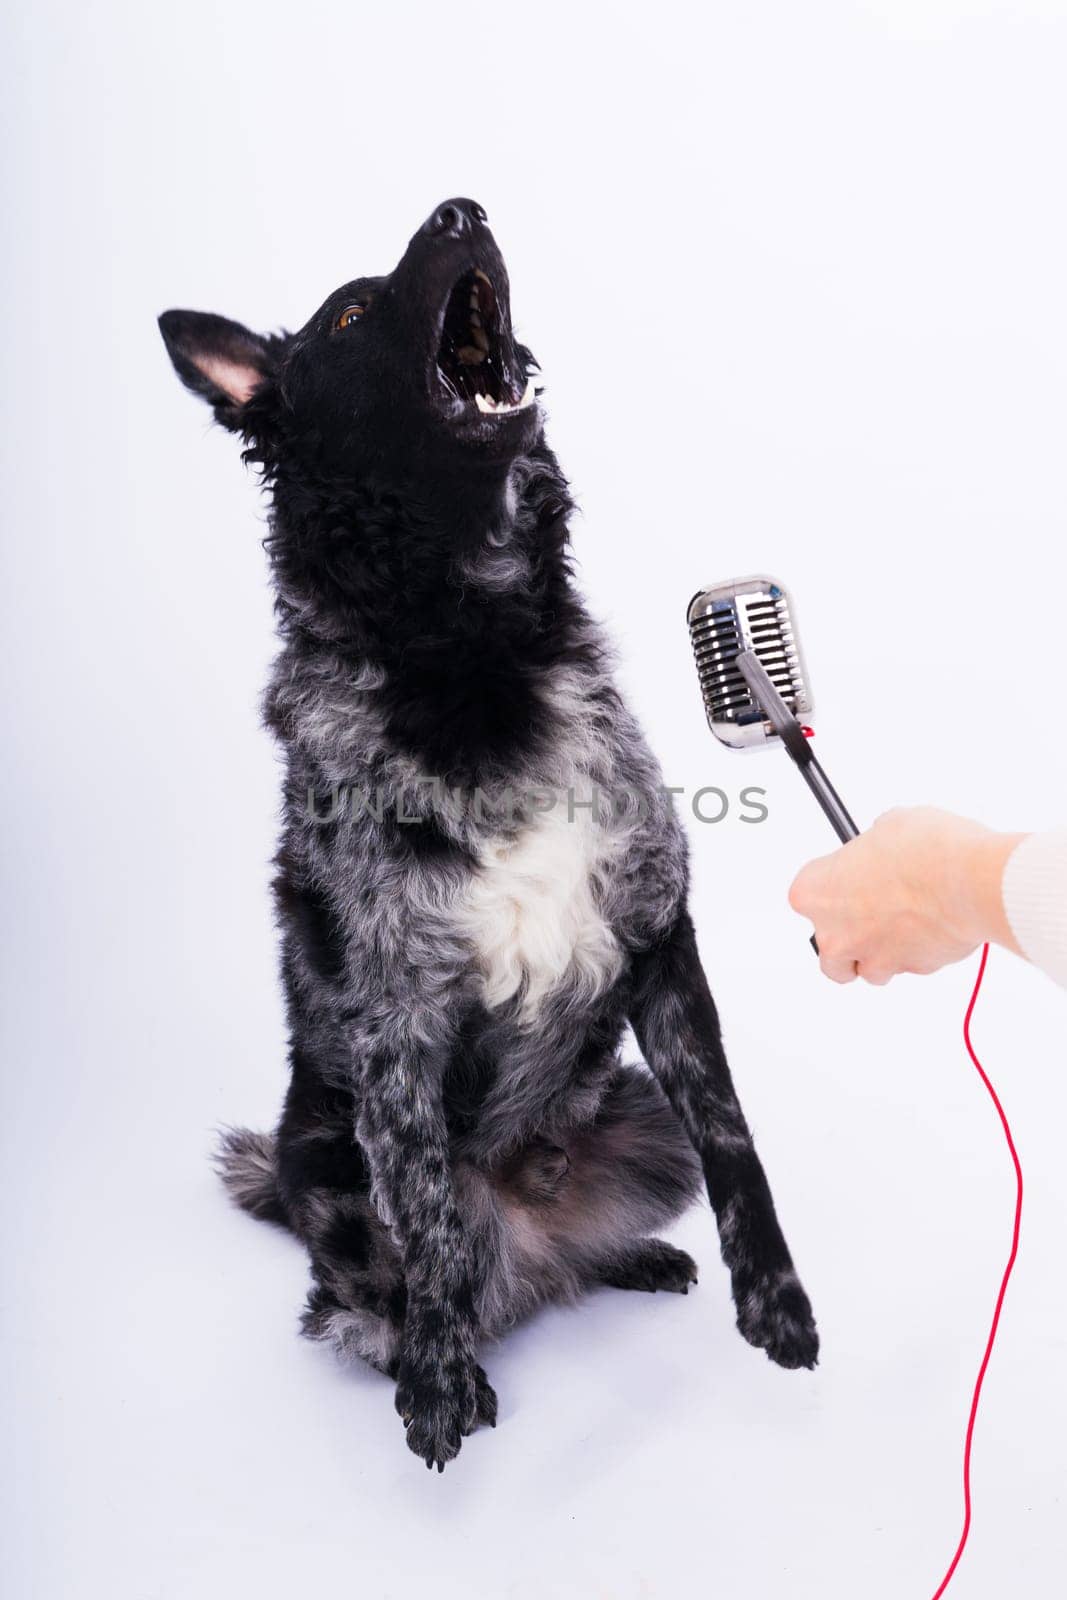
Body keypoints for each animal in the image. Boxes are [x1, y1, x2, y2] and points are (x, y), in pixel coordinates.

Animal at [158, 193, 819, 1465]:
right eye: (351, 314)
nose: (460, 208)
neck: (468, 649)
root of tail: (537, 1234)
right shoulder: (395, 1018)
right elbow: (420, 1203)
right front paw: (437, 1378)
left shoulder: (658, 940)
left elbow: (734, 1136)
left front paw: (774, 1299)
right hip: (327, 1178)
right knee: (376, 1288)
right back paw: (435, 1336)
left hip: (633, 1113)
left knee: (583, 1247)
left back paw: (627, 1257)